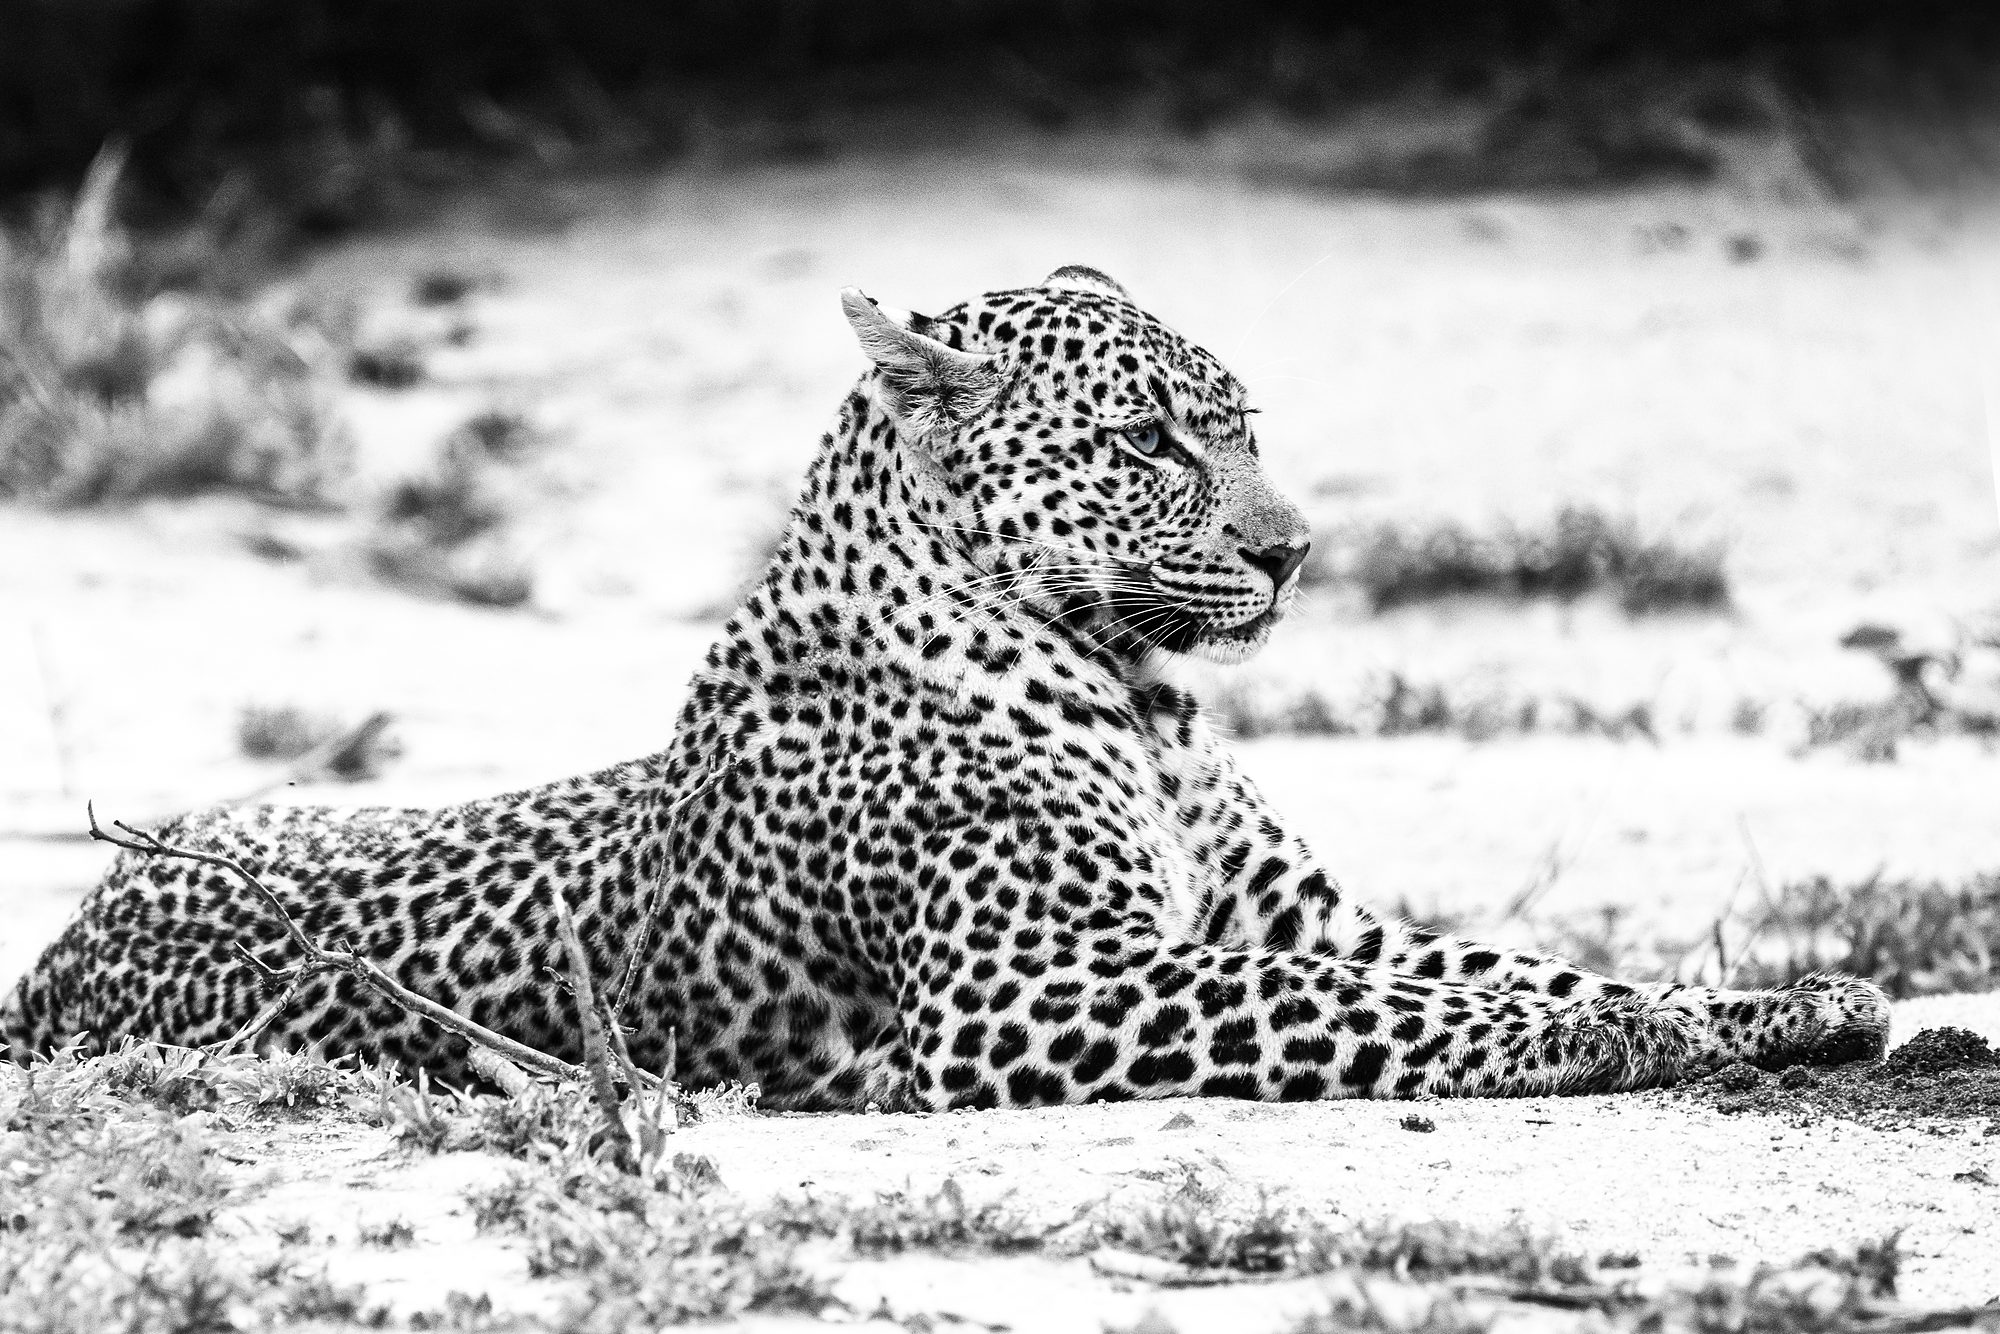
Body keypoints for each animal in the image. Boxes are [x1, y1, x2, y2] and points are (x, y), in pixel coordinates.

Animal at [2, 266, 1890, 1111]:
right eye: (1150, 441)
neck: (1142, 695)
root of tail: (67, 941)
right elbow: (1385, 1006)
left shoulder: (1302, 917)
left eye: (1244, 427)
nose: (1295, 551)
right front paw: (1612, 1035)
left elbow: (1491, 959)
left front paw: (1779, 1001)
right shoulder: (1024, 991)